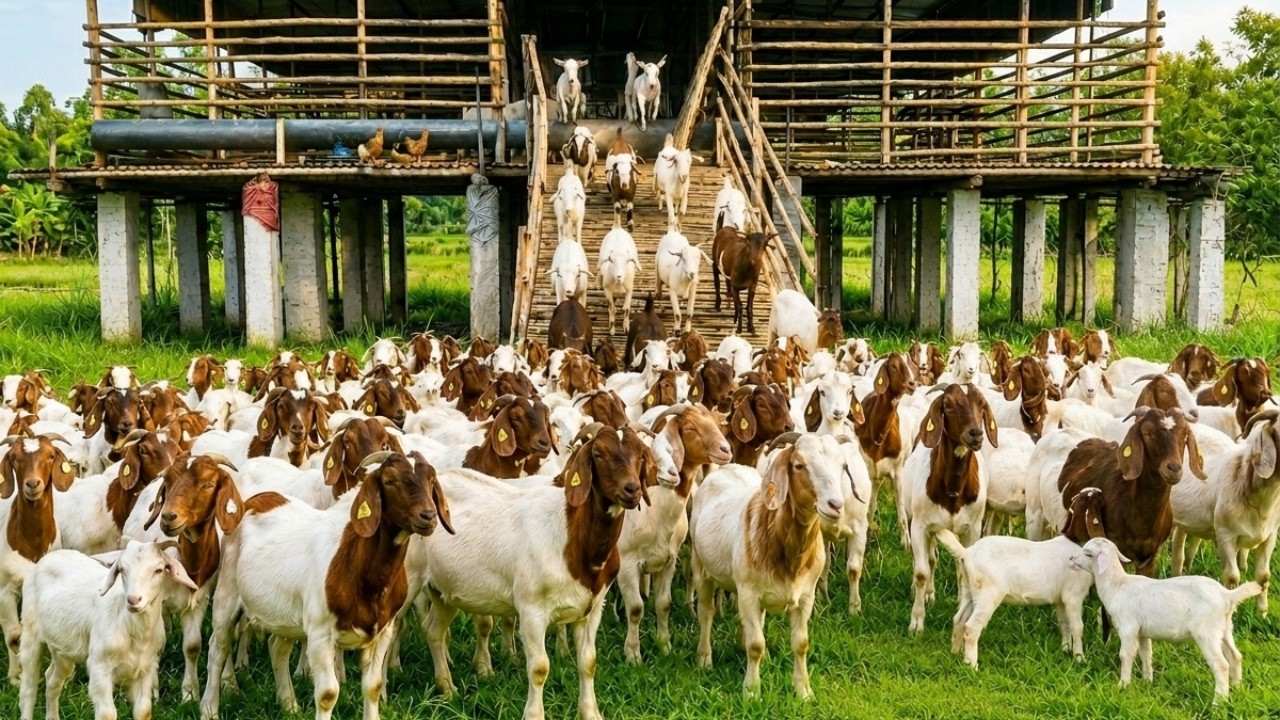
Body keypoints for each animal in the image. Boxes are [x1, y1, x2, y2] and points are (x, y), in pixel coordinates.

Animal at [691, 432, 845, 698]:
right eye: (799, 465)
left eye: (843, 466)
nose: (835, 505)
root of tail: (730, 467)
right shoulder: (748, 594)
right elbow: (756, 645)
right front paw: (752, 691)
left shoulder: (805, 596)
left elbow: (801, 644)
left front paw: (803, 691)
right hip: (701, 568)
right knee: (706, 613)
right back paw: (704, 659)